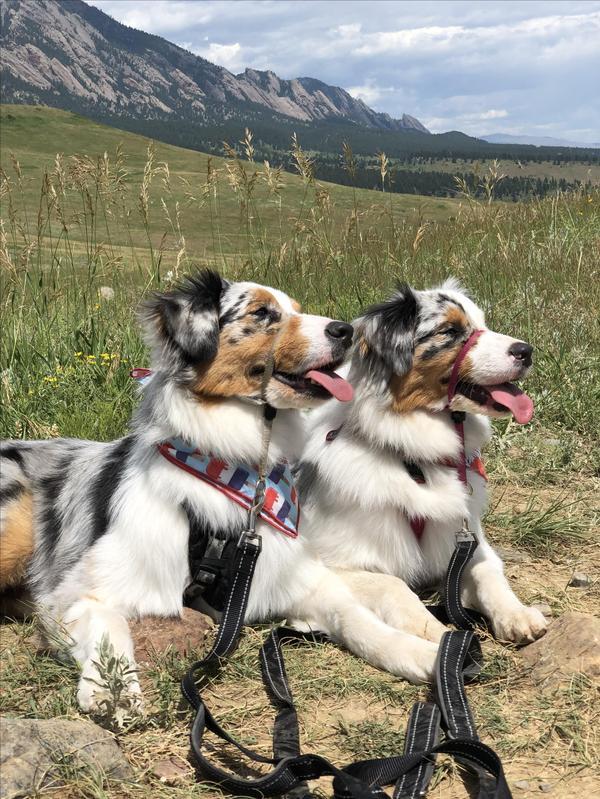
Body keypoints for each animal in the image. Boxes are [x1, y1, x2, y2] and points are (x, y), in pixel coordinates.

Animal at [300, 282, 548, 668]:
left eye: (483, 324)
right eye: (450, 331)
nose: (526, 351)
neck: (415, 461)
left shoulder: (466, 542)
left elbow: (488, 571)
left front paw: (517, 614)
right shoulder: (332, 563)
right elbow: (394, 585)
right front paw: (433, 630)